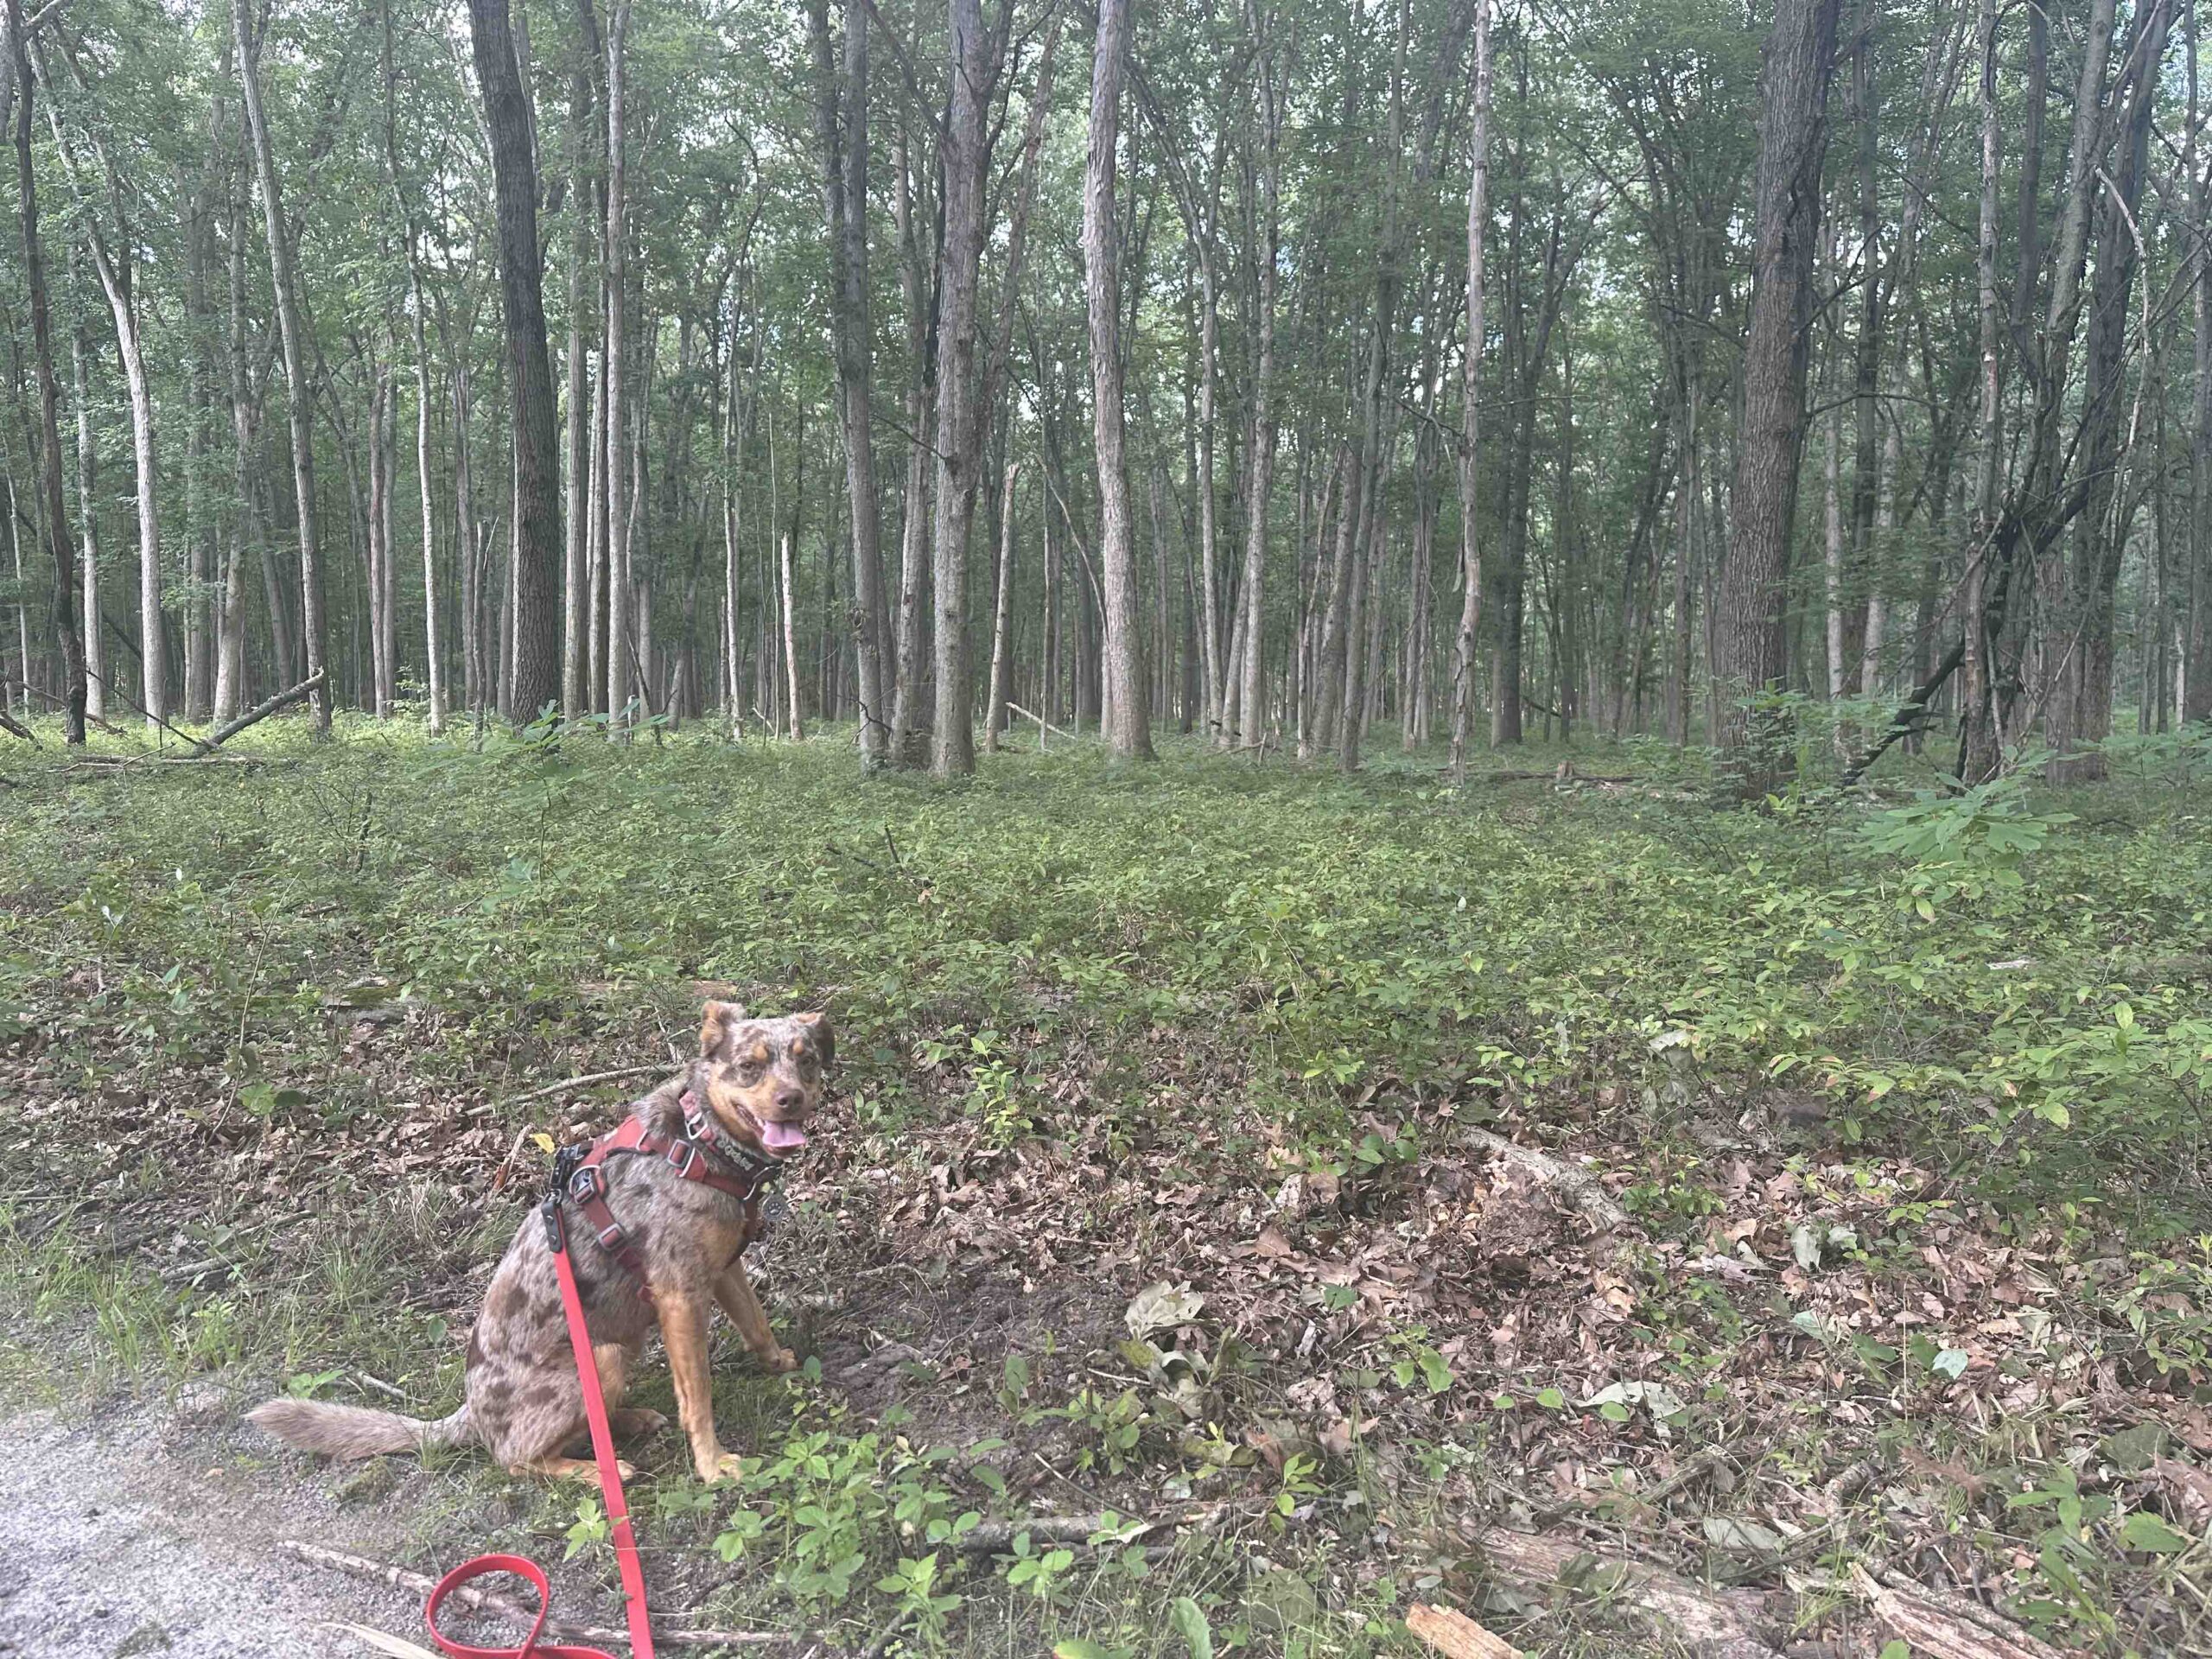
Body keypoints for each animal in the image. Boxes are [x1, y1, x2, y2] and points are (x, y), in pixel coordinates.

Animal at [244, 1008, 831, 1486]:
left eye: (806, 1061)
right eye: (749, 1066)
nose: (792, 1100)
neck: (699, 1140)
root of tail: (469, 1414)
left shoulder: (721, 1267)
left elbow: (756, 1323)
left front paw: (779, 1362)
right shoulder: (681, 1295)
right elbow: (699, 1396)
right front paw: (712, 1464)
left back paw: (629, 1420)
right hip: (602, 1358)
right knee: (517, 1459)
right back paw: (598, 1469)